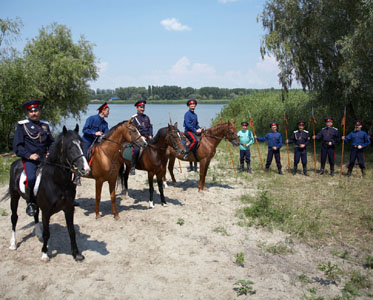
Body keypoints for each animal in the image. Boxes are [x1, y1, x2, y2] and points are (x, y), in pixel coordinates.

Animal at [2, 124, 90, 260]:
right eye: (70, 147)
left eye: (81, 144)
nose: (85, 169)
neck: (57, 182)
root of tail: (16, 163)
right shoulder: (46, 212)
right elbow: (47, 233)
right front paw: (44, 254)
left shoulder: (69, 208)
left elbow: (71, 231)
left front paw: (76, 254)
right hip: (14, 196)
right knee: (14, 218)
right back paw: (13, 244)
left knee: (35, 214)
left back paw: (37, 232)